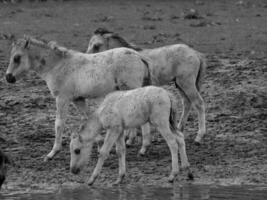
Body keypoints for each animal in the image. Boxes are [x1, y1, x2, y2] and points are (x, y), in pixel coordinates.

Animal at [5, 35, 153, 161]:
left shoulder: (62, 98)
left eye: (17, 57)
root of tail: (139, 56)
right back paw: (133, 142)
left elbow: (59, 124)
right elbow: (88, 117)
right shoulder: (78, 99)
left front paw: (52, 153)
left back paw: (143, 148)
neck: (57, 66)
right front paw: (99, 144)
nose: (8, 77)